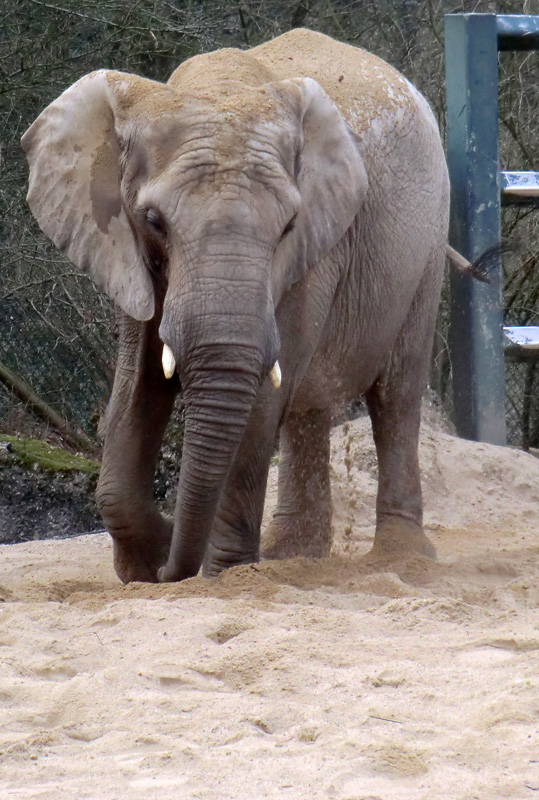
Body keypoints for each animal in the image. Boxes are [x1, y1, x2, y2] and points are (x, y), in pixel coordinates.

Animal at [22, 29, 452, 580]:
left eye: (288, 225)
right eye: (153, 220)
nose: (172, 570)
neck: (218, 90)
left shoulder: (312, 254)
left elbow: (261, 390)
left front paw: (223, 573)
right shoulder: (128, 251)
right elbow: (138, 381)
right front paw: (148, 565)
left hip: (428, 244)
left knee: (395, 394)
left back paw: (400, 555)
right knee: (310, 407)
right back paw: (294, 555)